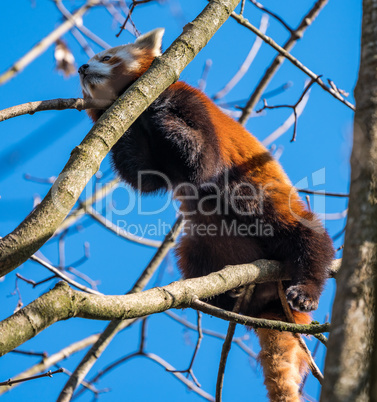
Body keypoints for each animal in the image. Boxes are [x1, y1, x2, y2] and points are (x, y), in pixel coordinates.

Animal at [78, 29, 332, 402]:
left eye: (107, 58)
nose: (82, 67)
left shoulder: (190, 104)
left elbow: (202, 160)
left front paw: (160, 110)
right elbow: (144, 177)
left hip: (269, 202)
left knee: (307, 237)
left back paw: (306, 289)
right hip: (210, 243)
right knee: (194, 253)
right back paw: (227, 296)